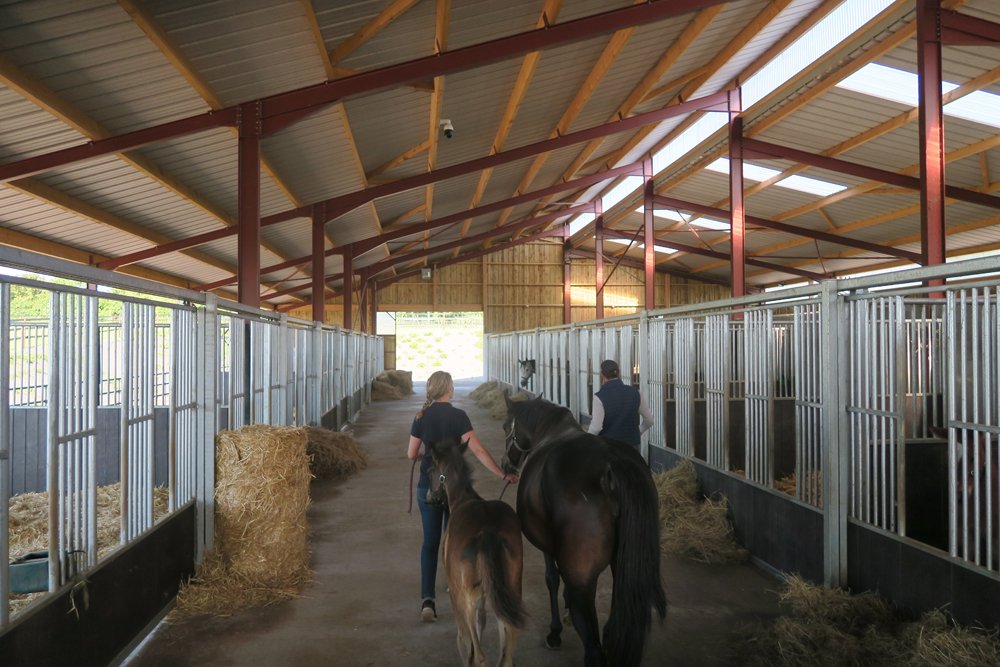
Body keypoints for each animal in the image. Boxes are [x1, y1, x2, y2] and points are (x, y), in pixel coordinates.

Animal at [426, 437, 528, 667]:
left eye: (429, 470)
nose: (430, 498)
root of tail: (487, 531)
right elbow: (483, 622)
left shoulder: (460, 595)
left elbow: (465, 639)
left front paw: (468, 654)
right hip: (510, 590)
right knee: (507, 648)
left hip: (466, 598)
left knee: (478, 651)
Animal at [500, 395, 666, 667]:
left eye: (506, 426)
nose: (506, 465)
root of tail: (611, 463)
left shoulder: (548, 547)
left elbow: (552, 579)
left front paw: (555, 631)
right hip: (622, 566)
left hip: (582, 578)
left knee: (592, 644)